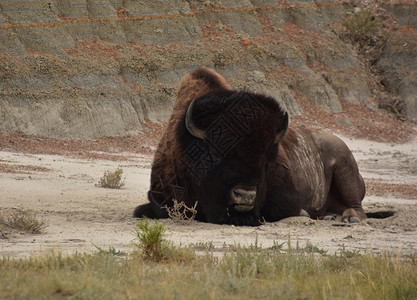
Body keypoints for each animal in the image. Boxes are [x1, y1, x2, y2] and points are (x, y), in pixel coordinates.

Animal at [133, 67, 364, 225]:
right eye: (216, 154)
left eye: (266, 159)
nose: (245, 195)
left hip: (344, 166)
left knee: (357, 206)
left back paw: (350, 218)